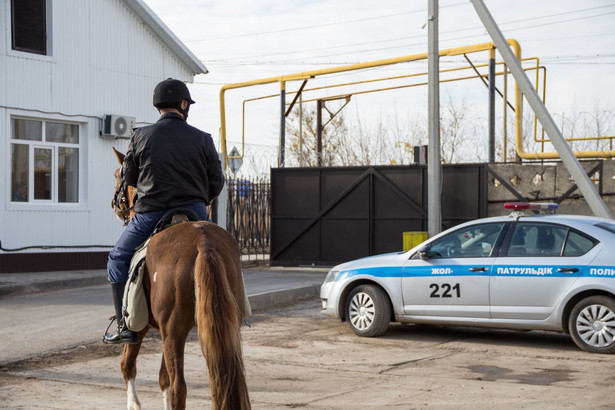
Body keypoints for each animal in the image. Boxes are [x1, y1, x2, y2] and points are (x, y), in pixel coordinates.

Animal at [110, 148, 250, 410]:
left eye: (118, 174)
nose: (115, 204)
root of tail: (203, 242)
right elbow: (161, 377)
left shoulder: (141, 326)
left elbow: (128, 365)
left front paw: (133, 403)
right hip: (221, 328)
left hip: (172, 330)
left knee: (178, 387)